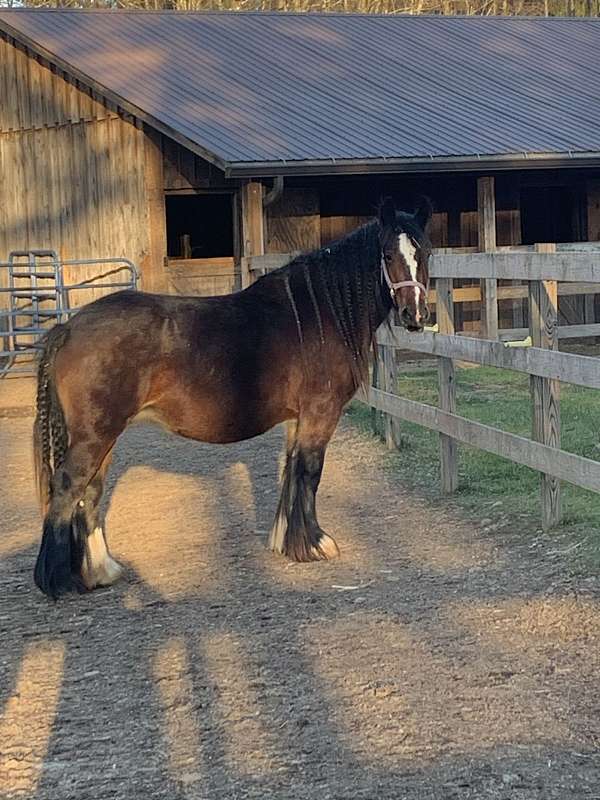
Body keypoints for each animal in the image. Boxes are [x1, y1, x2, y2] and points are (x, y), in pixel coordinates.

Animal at [31, 197, 432, 600]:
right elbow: (309, 473)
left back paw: (101, 571)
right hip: (95, 435)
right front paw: (316, 544)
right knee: (67, 487)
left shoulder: (296, 418)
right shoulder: (320, 414)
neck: (320, 314)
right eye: (388, 254)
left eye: (426, 252)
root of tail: (68, 328)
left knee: (91, 491)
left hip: (104, 436)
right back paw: (58, 581)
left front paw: (287, 542)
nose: (414, 315)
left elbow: (291, 471)